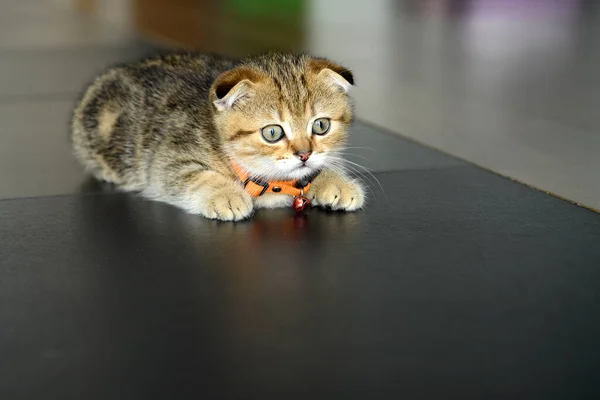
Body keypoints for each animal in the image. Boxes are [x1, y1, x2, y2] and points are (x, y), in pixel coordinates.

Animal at [72, 51, 364, 220]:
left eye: (321, 126)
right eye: (272, 132)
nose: (304, 154)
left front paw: (335, 181)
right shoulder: (166, 157)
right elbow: (193, 175)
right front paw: (226, 194)